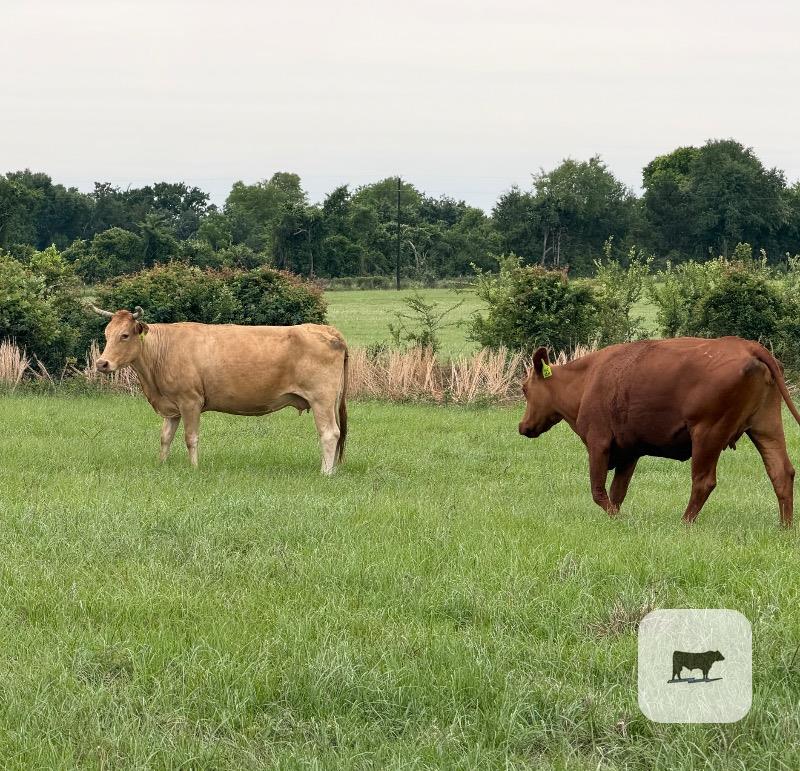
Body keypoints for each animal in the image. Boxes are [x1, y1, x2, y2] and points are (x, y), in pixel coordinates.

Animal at [89, 305, 348, 473]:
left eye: (124, 335)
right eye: (106, 334)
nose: (102, 363)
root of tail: (327, 330)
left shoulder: (190, 401)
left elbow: (190, 437)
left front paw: (194, 468)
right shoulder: (171, 407)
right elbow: (165, 438)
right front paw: (161, 465)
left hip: (321, 399)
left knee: (329, 433)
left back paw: (325, 473)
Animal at [518, 337, 800, 526]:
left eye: (524, 388)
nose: (522, 427)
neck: (585, 379)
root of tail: (747, 345)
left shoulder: (599, 443)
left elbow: (598, 492)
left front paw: (619, 520)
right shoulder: (629, 451)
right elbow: (617, 492)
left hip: (707, 433)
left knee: (704, 481)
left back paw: (684, 522)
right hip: (766, 426)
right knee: (781, 472)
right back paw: (784, 527)